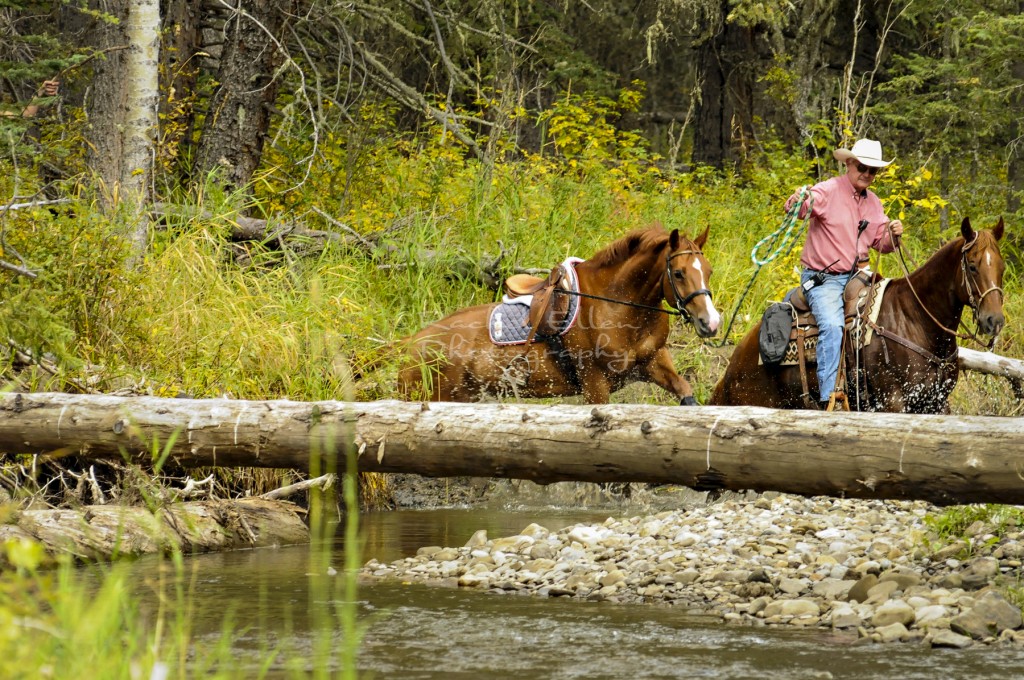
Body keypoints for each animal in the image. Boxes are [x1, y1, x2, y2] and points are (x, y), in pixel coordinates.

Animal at [395, 223, 724, 403]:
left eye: (708, 271)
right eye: (679, 273)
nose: (711, 322)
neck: (618, 306)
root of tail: (410, 344)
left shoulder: (653, 360)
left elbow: (685, 392)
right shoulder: (594, 382)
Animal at [712, 216, 1007, 413]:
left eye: (1002, 267)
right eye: (972, 266)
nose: (994, 320)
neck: (916, 320)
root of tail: (733, 365)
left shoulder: (936, 403)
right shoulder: (893, 403)